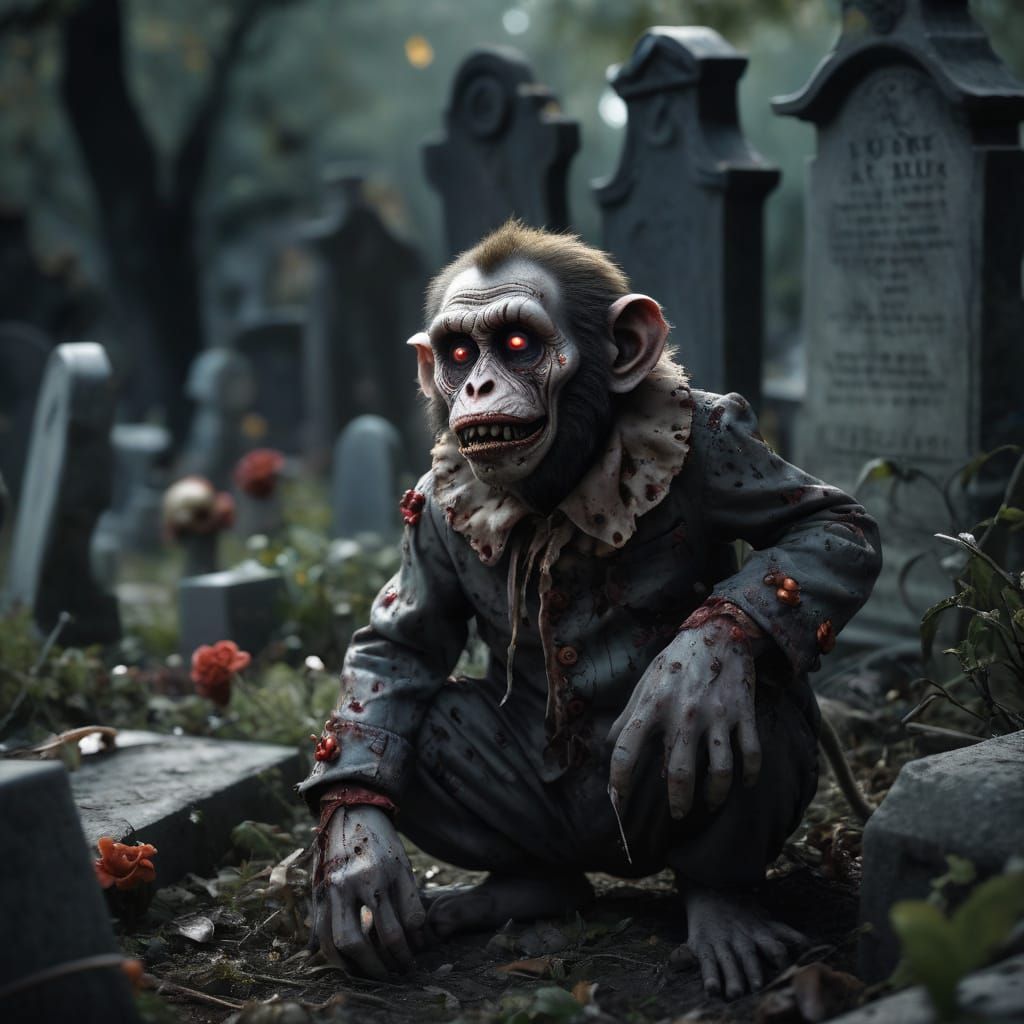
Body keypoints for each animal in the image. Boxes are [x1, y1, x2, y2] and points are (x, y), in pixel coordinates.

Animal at [299, 221, 882, 999]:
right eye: (460, 354)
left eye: (517, 343)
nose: (477, 384)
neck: (561, 487)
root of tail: (618, 869)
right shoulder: (429, 503)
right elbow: (401, 645)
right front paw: (357, 858)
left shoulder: (720, 438)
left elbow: (832, 526)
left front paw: (686, 669)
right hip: (555, 833)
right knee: (432, 718)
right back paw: (523, 890)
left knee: (752, 690)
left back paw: (723, 905)